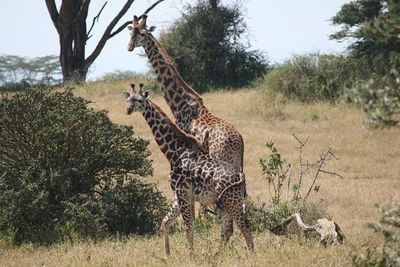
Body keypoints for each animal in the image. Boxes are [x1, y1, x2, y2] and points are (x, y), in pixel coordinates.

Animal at [122, 84, 253, 258]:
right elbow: (165, 222)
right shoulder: (180, 195)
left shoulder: (182, 193)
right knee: (229, 228)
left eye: (139, 100)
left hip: (231, 201)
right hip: (229, 201)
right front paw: (167, 255)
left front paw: (191, 256)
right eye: (128, 100)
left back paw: (252, 255)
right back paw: (216, 256)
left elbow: (188, 227)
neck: (174, 152)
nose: (129, 110)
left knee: (244, 225)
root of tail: (240, 175)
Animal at [126, 15, 244, 174]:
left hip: (221, 157)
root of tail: (240, 142)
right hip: (237, 164)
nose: (130, 46)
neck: (180, 103)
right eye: (131, 32)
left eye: (143, 34)